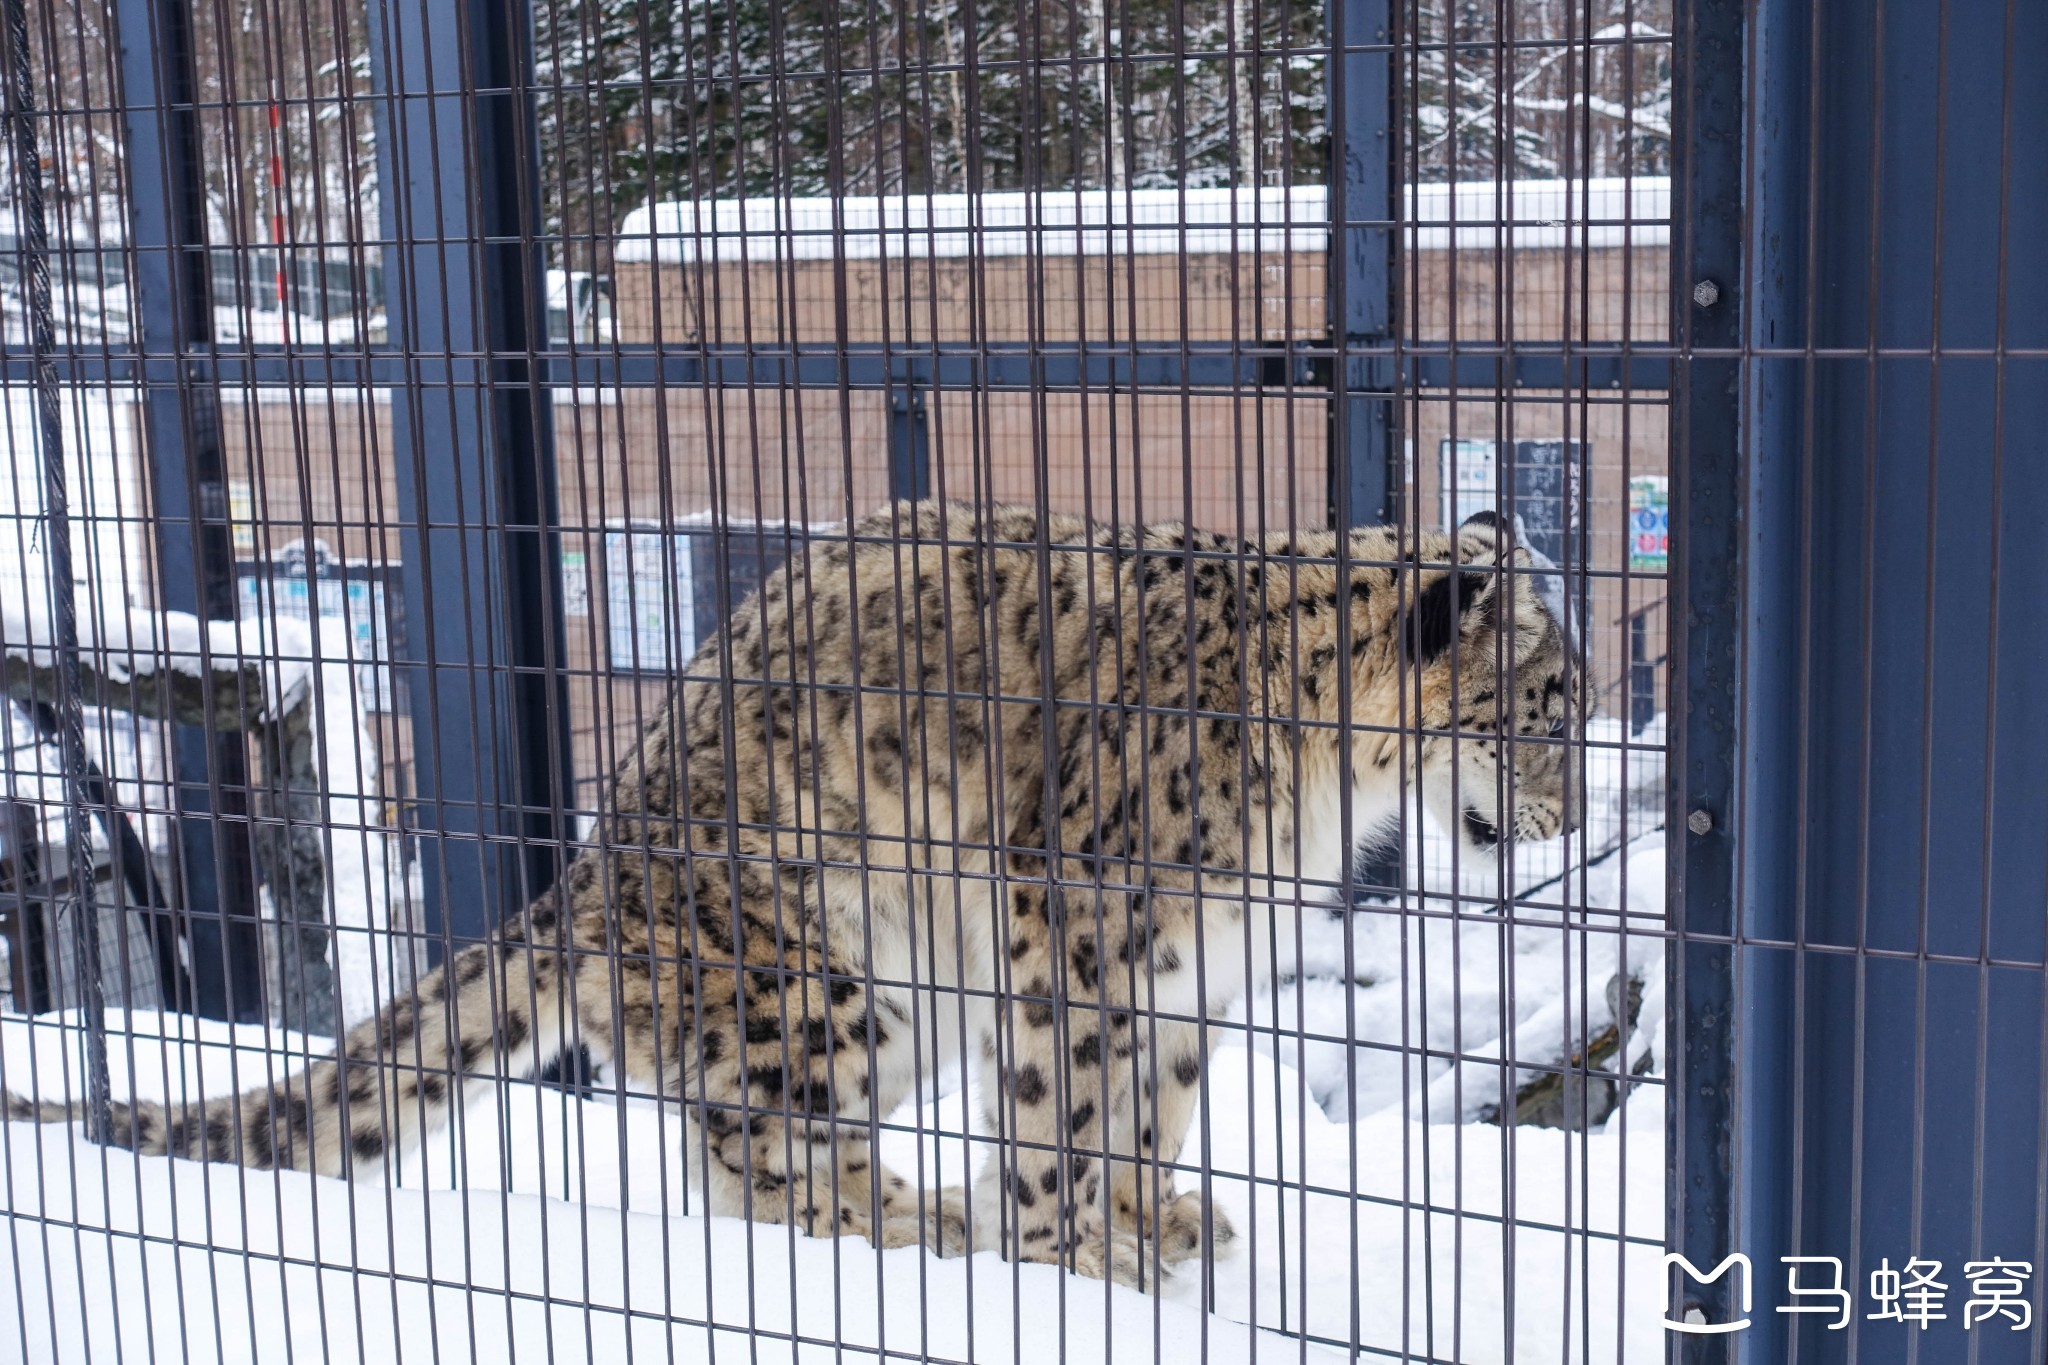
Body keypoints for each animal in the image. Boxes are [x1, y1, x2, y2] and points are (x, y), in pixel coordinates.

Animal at [8, 499, 1581, 1293]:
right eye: (1547, 708)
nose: (1566, 818)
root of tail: (584, 878)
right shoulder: (1079, 921)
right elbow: (1066, 1104)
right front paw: (1074, 1255)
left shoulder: (1197, 959)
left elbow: (1158, 1099)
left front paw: (1163, 1218)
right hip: (824, 984)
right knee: (755, 1168)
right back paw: (919, 1217)